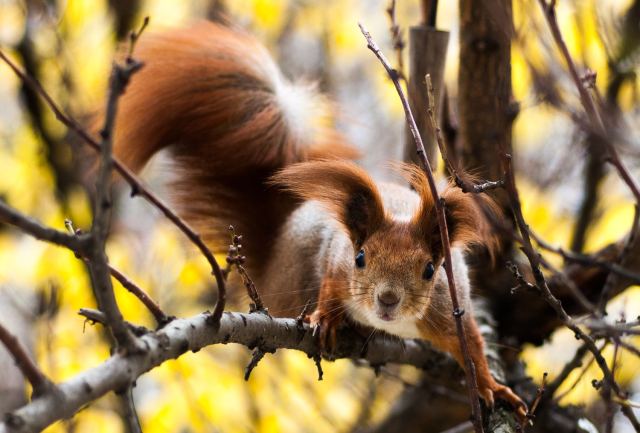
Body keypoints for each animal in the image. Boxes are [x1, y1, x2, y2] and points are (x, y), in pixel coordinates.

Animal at [109, 20, 526, 417]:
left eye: (429, 269)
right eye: (360, 258)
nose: (388, 299)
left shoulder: (449, 310)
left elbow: (472, 345)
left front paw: (491, 386)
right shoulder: (335, 262)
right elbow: (329, 284)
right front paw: (326, 318)